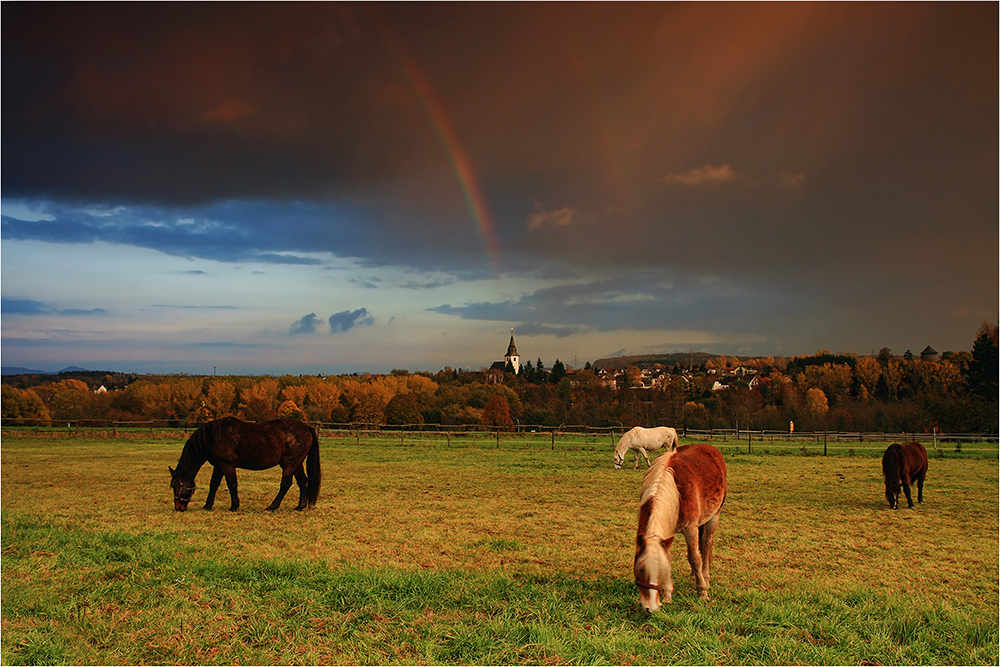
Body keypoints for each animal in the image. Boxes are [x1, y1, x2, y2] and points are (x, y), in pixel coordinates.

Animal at [166, 418, 318, 512]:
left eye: (176, 486)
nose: (179, 507)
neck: (214, 436)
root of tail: (306, 427)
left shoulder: (227, 465)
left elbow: (231, 484)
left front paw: (234, 506)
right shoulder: (219, 465)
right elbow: (214, 484)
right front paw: (207, 505)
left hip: (289, 464)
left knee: (286, 484)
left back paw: (271, 507)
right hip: (297, 464)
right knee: (303, 481)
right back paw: (299, 507)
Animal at [632, 446, 728, 612]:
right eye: (640, 571)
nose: (651, 608)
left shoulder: (690, 528)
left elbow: (695, 558)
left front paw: (702, 592)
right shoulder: (667, 533)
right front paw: (668, 595)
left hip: (714, 516)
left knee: (706, 545)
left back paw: (705, 578)